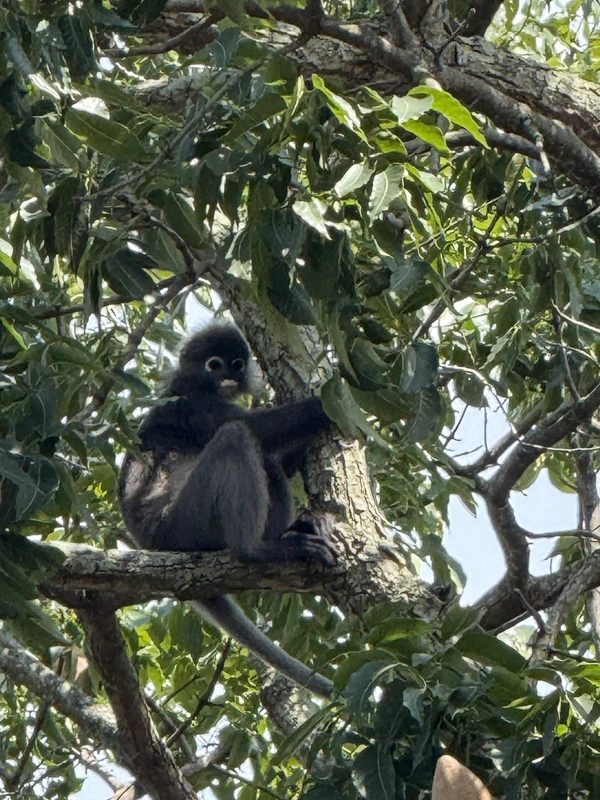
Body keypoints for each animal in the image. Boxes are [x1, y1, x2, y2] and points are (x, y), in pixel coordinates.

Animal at [119, 324, 335, 696]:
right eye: (214, 364)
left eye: (237, 364)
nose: (230, 378)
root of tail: (147, 543)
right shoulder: (196, 405)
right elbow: (260, 430)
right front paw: (335, 399)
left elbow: (277, 457)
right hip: (183, 523)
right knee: (236, 435)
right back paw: (257, 550)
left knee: (264, 461)